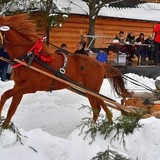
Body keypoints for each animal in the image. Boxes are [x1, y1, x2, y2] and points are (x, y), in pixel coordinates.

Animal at [0, 14, 130, 129]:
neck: (29, 57)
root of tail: (100, 64)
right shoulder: (19, 86)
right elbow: (10, 105)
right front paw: (4, 126)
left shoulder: (30, 87)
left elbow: (6, 98)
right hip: (88, 89)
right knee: (100, 106)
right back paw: (100, 125)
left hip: (91, 89)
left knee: (99, 107)